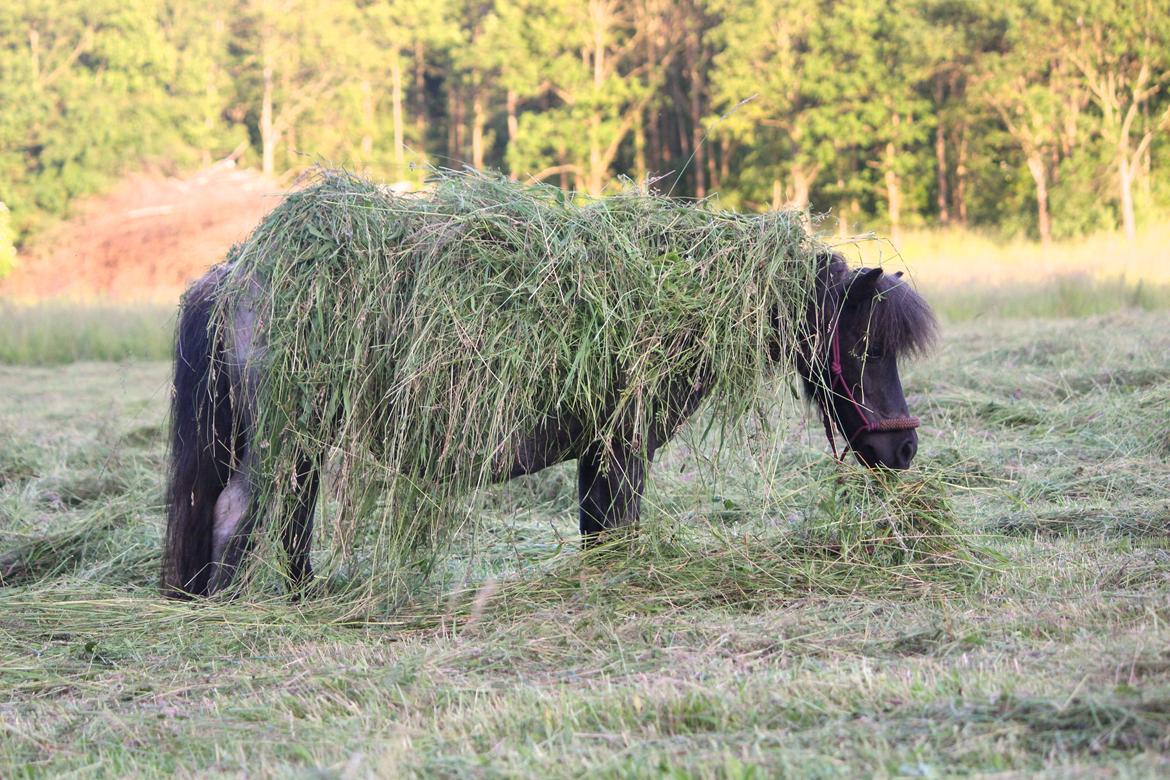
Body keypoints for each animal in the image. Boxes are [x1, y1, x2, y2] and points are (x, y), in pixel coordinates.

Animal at [162, 211, 931, 598]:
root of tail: (235, 272)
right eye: (865, 346)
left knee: (288, 518)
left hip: (300, 439)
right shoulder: (623, 446)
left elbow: (598, 531)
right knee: (239, 513)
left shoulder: (600, 451)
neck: (666, 298)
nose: (904, 449)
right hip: (286, 436)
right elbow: (617, 528)